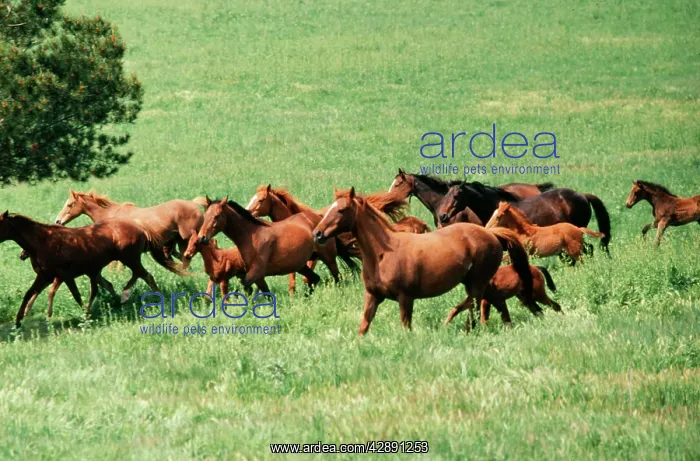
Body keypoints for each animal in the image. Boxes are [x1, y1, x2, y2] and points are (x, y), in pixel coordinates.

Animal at [0, 211, 184, 327]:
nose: (21, 256)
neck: (43, 242)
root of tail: (140, 228)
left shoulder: (63, 275)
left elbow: (72, 295)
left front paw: (81, 315)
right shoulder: (45, 276)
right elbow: (29, 294)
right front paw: (18, 321)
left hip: (129, 259)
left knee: (145, 276)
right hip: (118, 263)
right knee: (132, 278)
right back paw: (121, 299)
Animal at [312, 188, 535, 335]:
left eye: (341, 210)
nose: (317, 233)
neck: (383, 253)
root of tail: (492, 234)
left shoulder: (405, 298)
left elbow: (406, 326)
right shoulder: (373, 296)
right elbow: (364, 326)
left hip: (477, 281)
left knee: (472, 301)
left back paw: (454, 323)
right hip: (476, 282)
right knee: (490, 302)